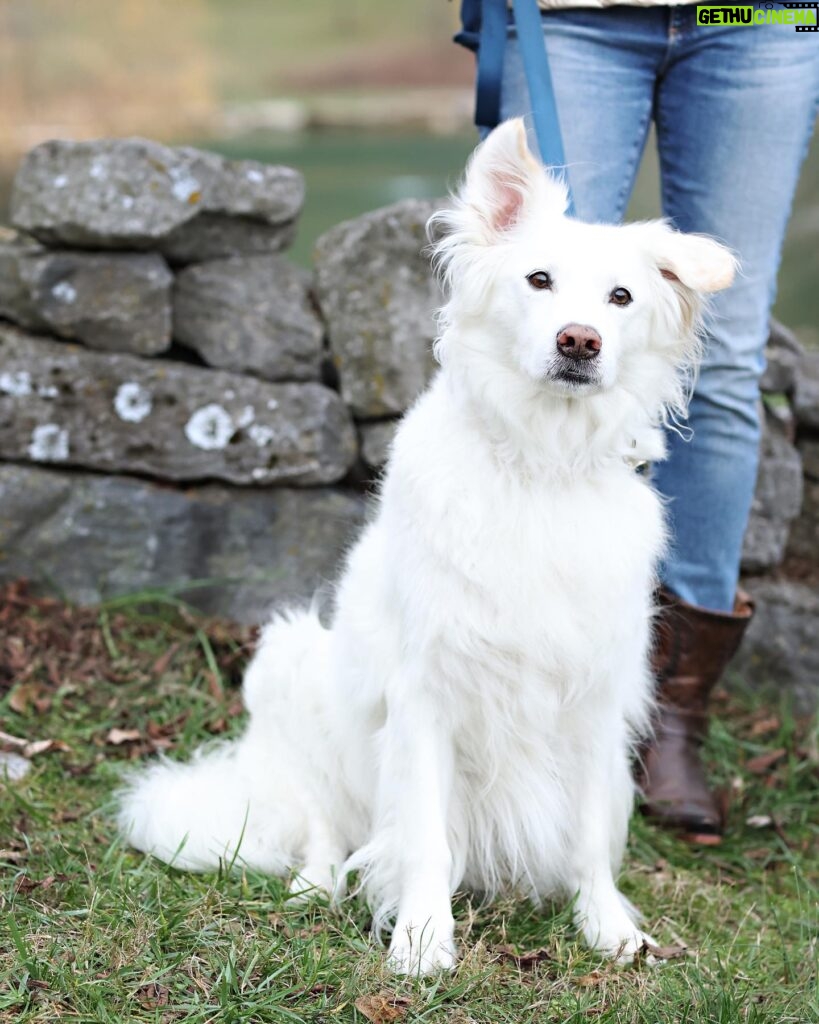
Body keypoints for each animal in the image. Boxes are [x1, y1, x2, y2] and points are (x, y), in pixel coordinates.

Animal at [119, 119, 737, 974]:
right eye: (539, 280)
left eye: (621, 298)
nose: (578, 342)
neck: (537, 462)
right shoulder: (425, 695)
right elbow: (422, 834)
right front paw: (420, 936)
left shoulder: (594, 696)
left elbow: (587, 835)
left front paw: (605, 926)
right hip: (291, 661)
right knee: (323, 821)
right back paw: (317, 885)